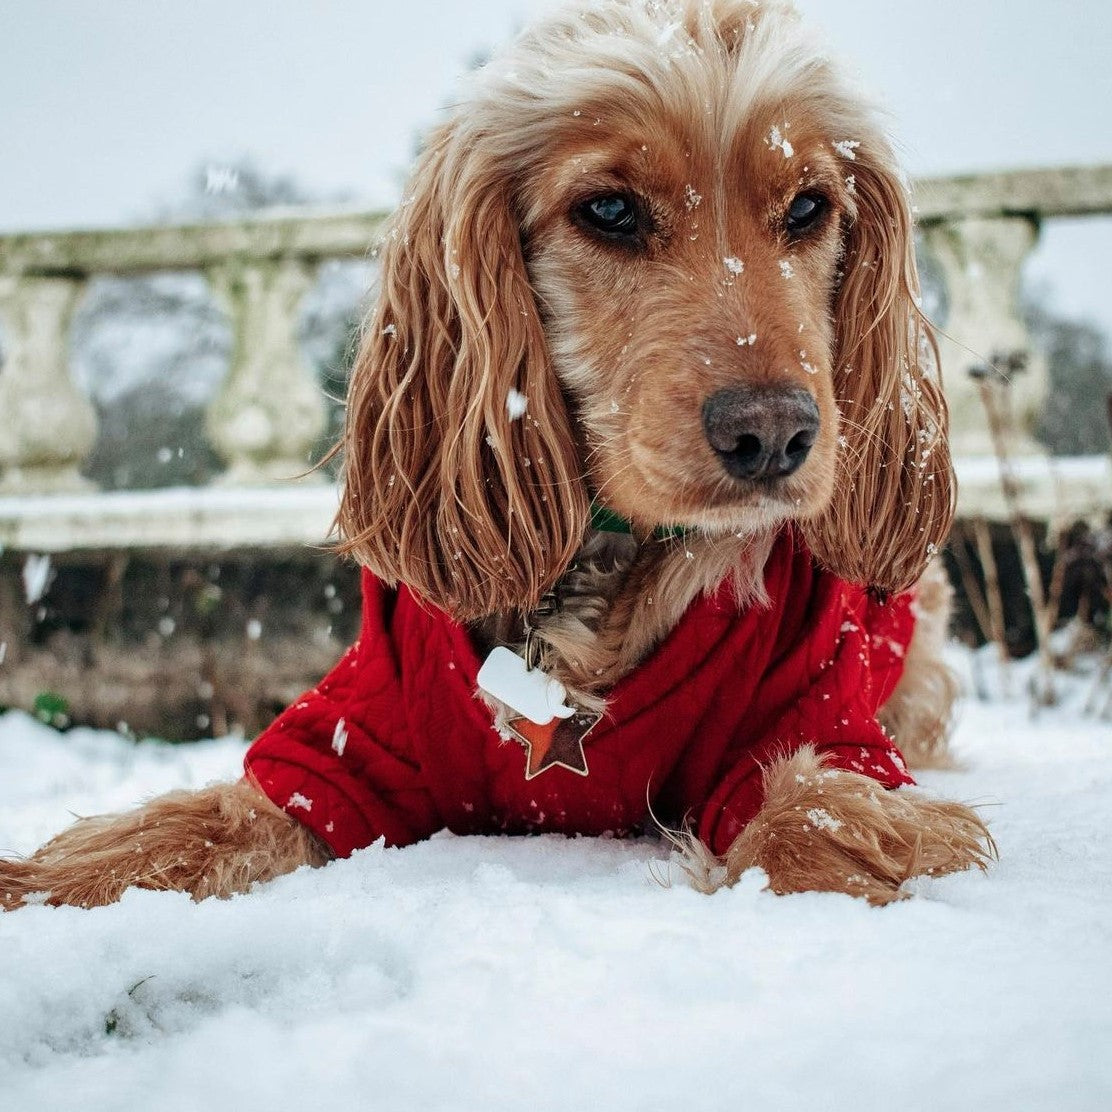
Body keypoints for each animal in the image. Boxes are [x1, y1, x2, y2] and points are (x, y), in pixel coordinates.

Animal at [0, 0, 991, 911]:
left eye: (809, 208)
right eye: (609, 209)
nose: (775, 434)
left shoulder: (825, 724)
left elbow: (812, 829)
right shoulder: (345, 742)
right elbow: (180, 828)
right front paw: (40, 886)